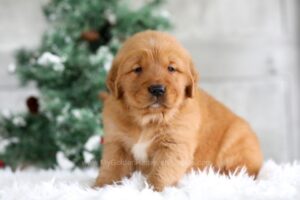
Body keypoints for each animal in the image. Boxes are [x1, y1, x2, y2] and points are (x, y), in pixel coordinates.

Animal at [95, 30, 262, 191]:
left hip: (237, 142)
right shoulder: (116, 142)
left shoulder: (175, 144)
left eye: (171, 68)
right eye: (137, 69)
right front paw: (101, 188)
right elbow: (112, 168)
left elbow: (162, 172)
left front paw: (152, 190)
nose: (157, 89)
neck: (149, 118)